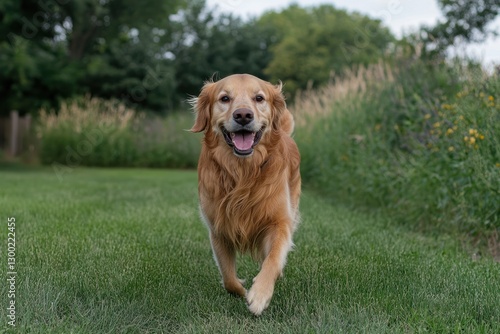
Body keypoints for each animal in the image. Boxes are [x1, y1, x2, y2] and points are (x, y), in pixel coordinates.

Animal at [190, 73, 300, 316]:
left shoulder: (279, 222)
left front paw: (259, 294)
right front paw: (241, 290)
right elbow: (227, 276)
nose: (243, 115)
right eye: (224, 98)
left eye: (259, 98)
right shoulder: (218, 229)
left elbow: (273, 258)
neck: (243, 173)